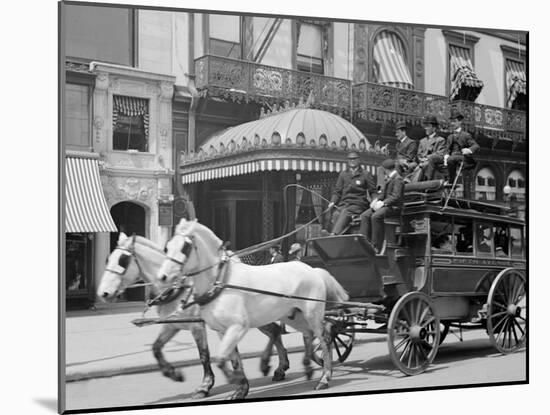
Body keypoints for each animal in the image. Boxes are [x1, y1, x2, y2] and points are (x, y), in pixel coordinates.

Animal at [98, 234, 294, 400]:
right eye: (108, 259)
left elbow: (204, 355)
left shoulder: (197, 326)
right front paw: (173, 374)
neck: (177, 288)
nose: (104, 293)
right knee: (275, 331)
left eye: (123, 260)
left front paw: (204, 386)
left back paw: (276, 366)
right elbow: (156, 348)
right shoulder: (172, 324)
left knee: (274, 331)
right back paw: (280, 368)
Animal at [158, 218, 350, 400]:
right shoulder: (223, 330)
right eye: (167, 246)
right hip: (293, 316)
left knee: (325, 337)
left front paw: (232, 381)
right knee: (308, 334)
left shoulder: (237, 327)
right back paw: (307, 367)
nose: (163, 277)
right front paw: (240, 389)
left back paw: (324, 377)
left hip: (312, 313)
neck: (221, 282)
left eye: (185, 247)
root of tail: (313, 270)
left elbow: (220, 360)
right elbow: (233, 359)